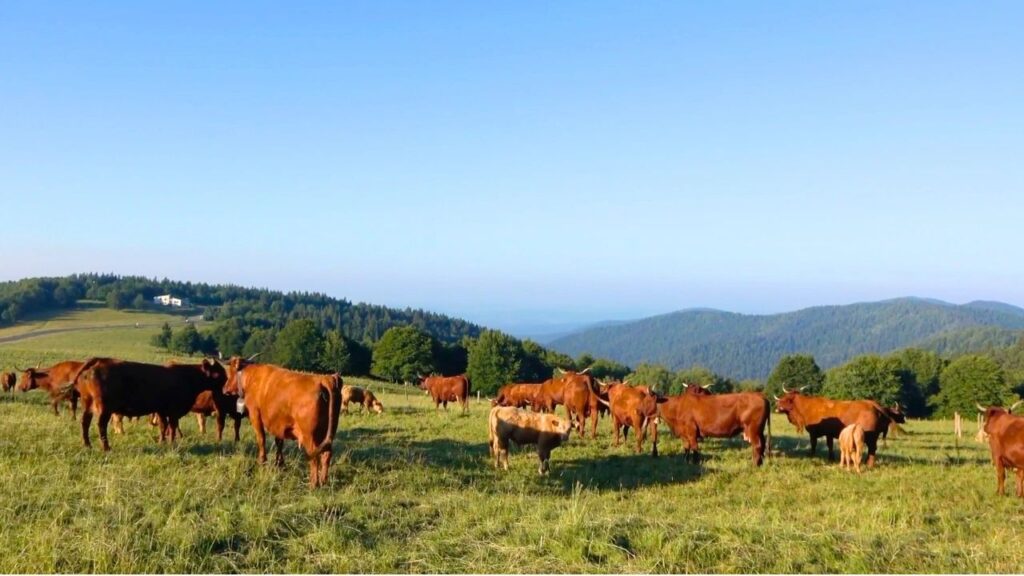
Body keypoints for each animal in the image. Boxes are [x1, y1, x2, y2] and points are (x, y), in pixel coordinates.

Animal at [73, 358, 229, 448]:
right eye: (219, 373)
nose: (227, 389)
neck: (186, 377)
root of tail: (99, 363)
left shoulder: (161, 410)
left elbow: (163, 426)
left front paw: (162, 442)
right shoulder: (173, 411)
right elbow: (172, 427)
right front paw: (172, 443)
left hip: (87, 404)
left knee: (85, 422)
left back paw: (87, 445)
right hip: (105, 408)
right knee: (101, 425)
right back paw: (106, 448)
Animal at [223, 356, 342, 485]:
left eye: (231, 371)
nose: (224, 389)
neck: (252, 377)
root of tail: (324, 379)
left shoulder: (255, 415)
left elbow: (261, 439)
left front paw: (262, 462)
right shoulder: (279, 423)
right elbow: (279, 442)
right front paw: (279, 464)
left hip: (309, 435)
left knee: (314, 457)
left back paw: (313, 484)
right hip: (326, 434)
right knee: (326, 454)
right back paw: (323, 481)